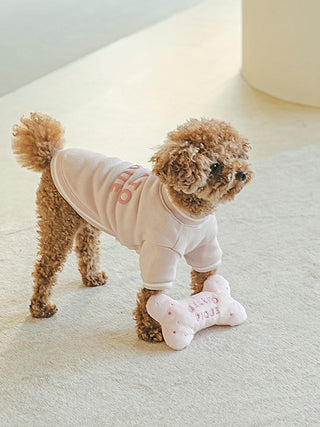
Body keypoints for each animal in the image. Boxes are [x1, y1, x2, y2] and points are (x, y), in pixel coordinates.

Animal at [11, 112, 252, 342]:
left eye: (236, 154)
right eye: (214, 165)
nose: (242, 173)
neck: (190, 213)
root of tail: (53, 155)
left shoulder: (205, 248)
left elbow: (205, 277)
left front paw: (209, 300)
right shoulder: (158, 255)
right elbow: (151, 296)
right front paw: (150, 331)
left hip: (85, 218)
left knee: (86, 249)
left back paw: (92, 278)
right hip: (58, 223)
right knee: (45, 267)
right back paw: (40, 307)